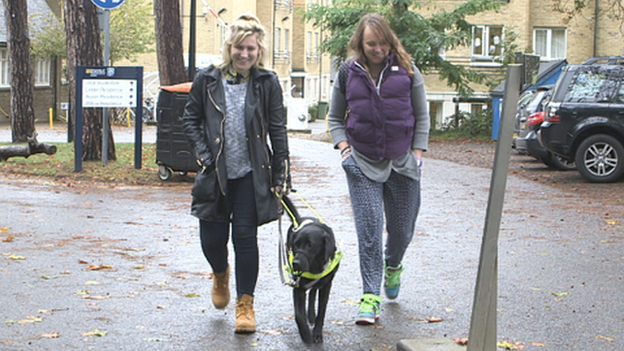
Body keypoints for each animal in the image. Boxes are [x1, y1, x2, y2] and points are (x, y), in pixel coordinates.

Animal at [282, 197, 342, 346]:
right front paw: (306, 335)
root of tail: (299, 218)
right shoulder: (298, 287)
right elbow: (299, 315)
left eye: (310, 245)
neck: (314, 267)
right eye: (295, 245)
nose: (295, 263)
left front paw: (317, 334)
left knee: (314, 291)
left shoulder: (326, 286)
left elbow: (322, 312)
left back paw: (311, 315)